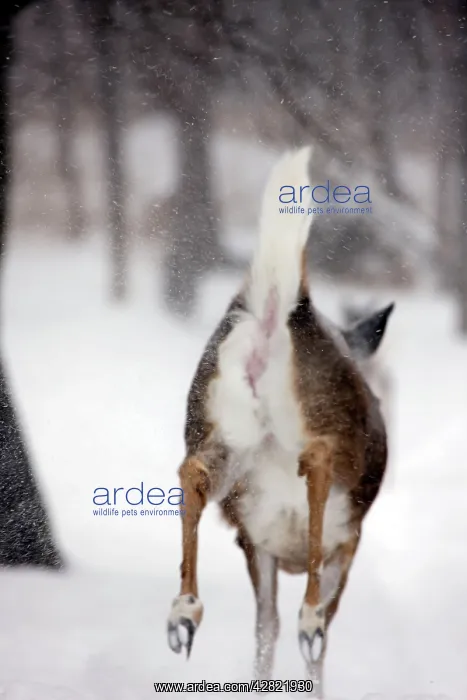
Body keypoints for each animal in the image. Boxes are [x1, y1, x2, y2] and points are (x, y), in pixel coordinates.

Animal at [166, 147, 393, 697]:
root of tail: (279, 311)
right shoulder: (345, 544)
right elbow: (313, 636)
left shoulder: (255, 542)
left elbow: (263, 627)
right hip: (328, 441)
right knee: (317, 462)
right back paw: (306, 615)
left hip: (219, 429)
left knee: (192, 470)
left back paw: (183, 611)